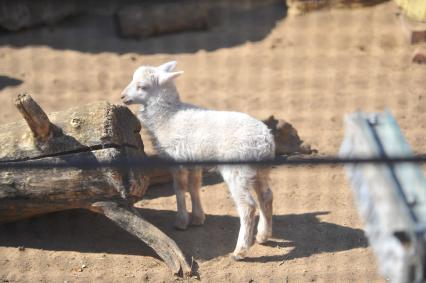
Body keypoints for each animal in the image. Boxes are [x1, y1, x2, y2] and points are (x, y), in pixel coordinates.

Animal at [120, 61, 276, 260]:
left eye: (142, 86)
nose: (122, 96)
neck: (169, 116)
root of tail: (265, 140)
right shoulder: (193, 160)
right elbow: (194, 187)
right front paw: (197, 218)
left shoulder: (177, 158)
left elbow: (179, 189)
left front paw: (181, 222)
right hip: (260, 169)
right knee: (266, 196)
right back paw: (263, 235)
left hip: (237, 170)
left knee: (247, 206)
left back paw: (240, 251)